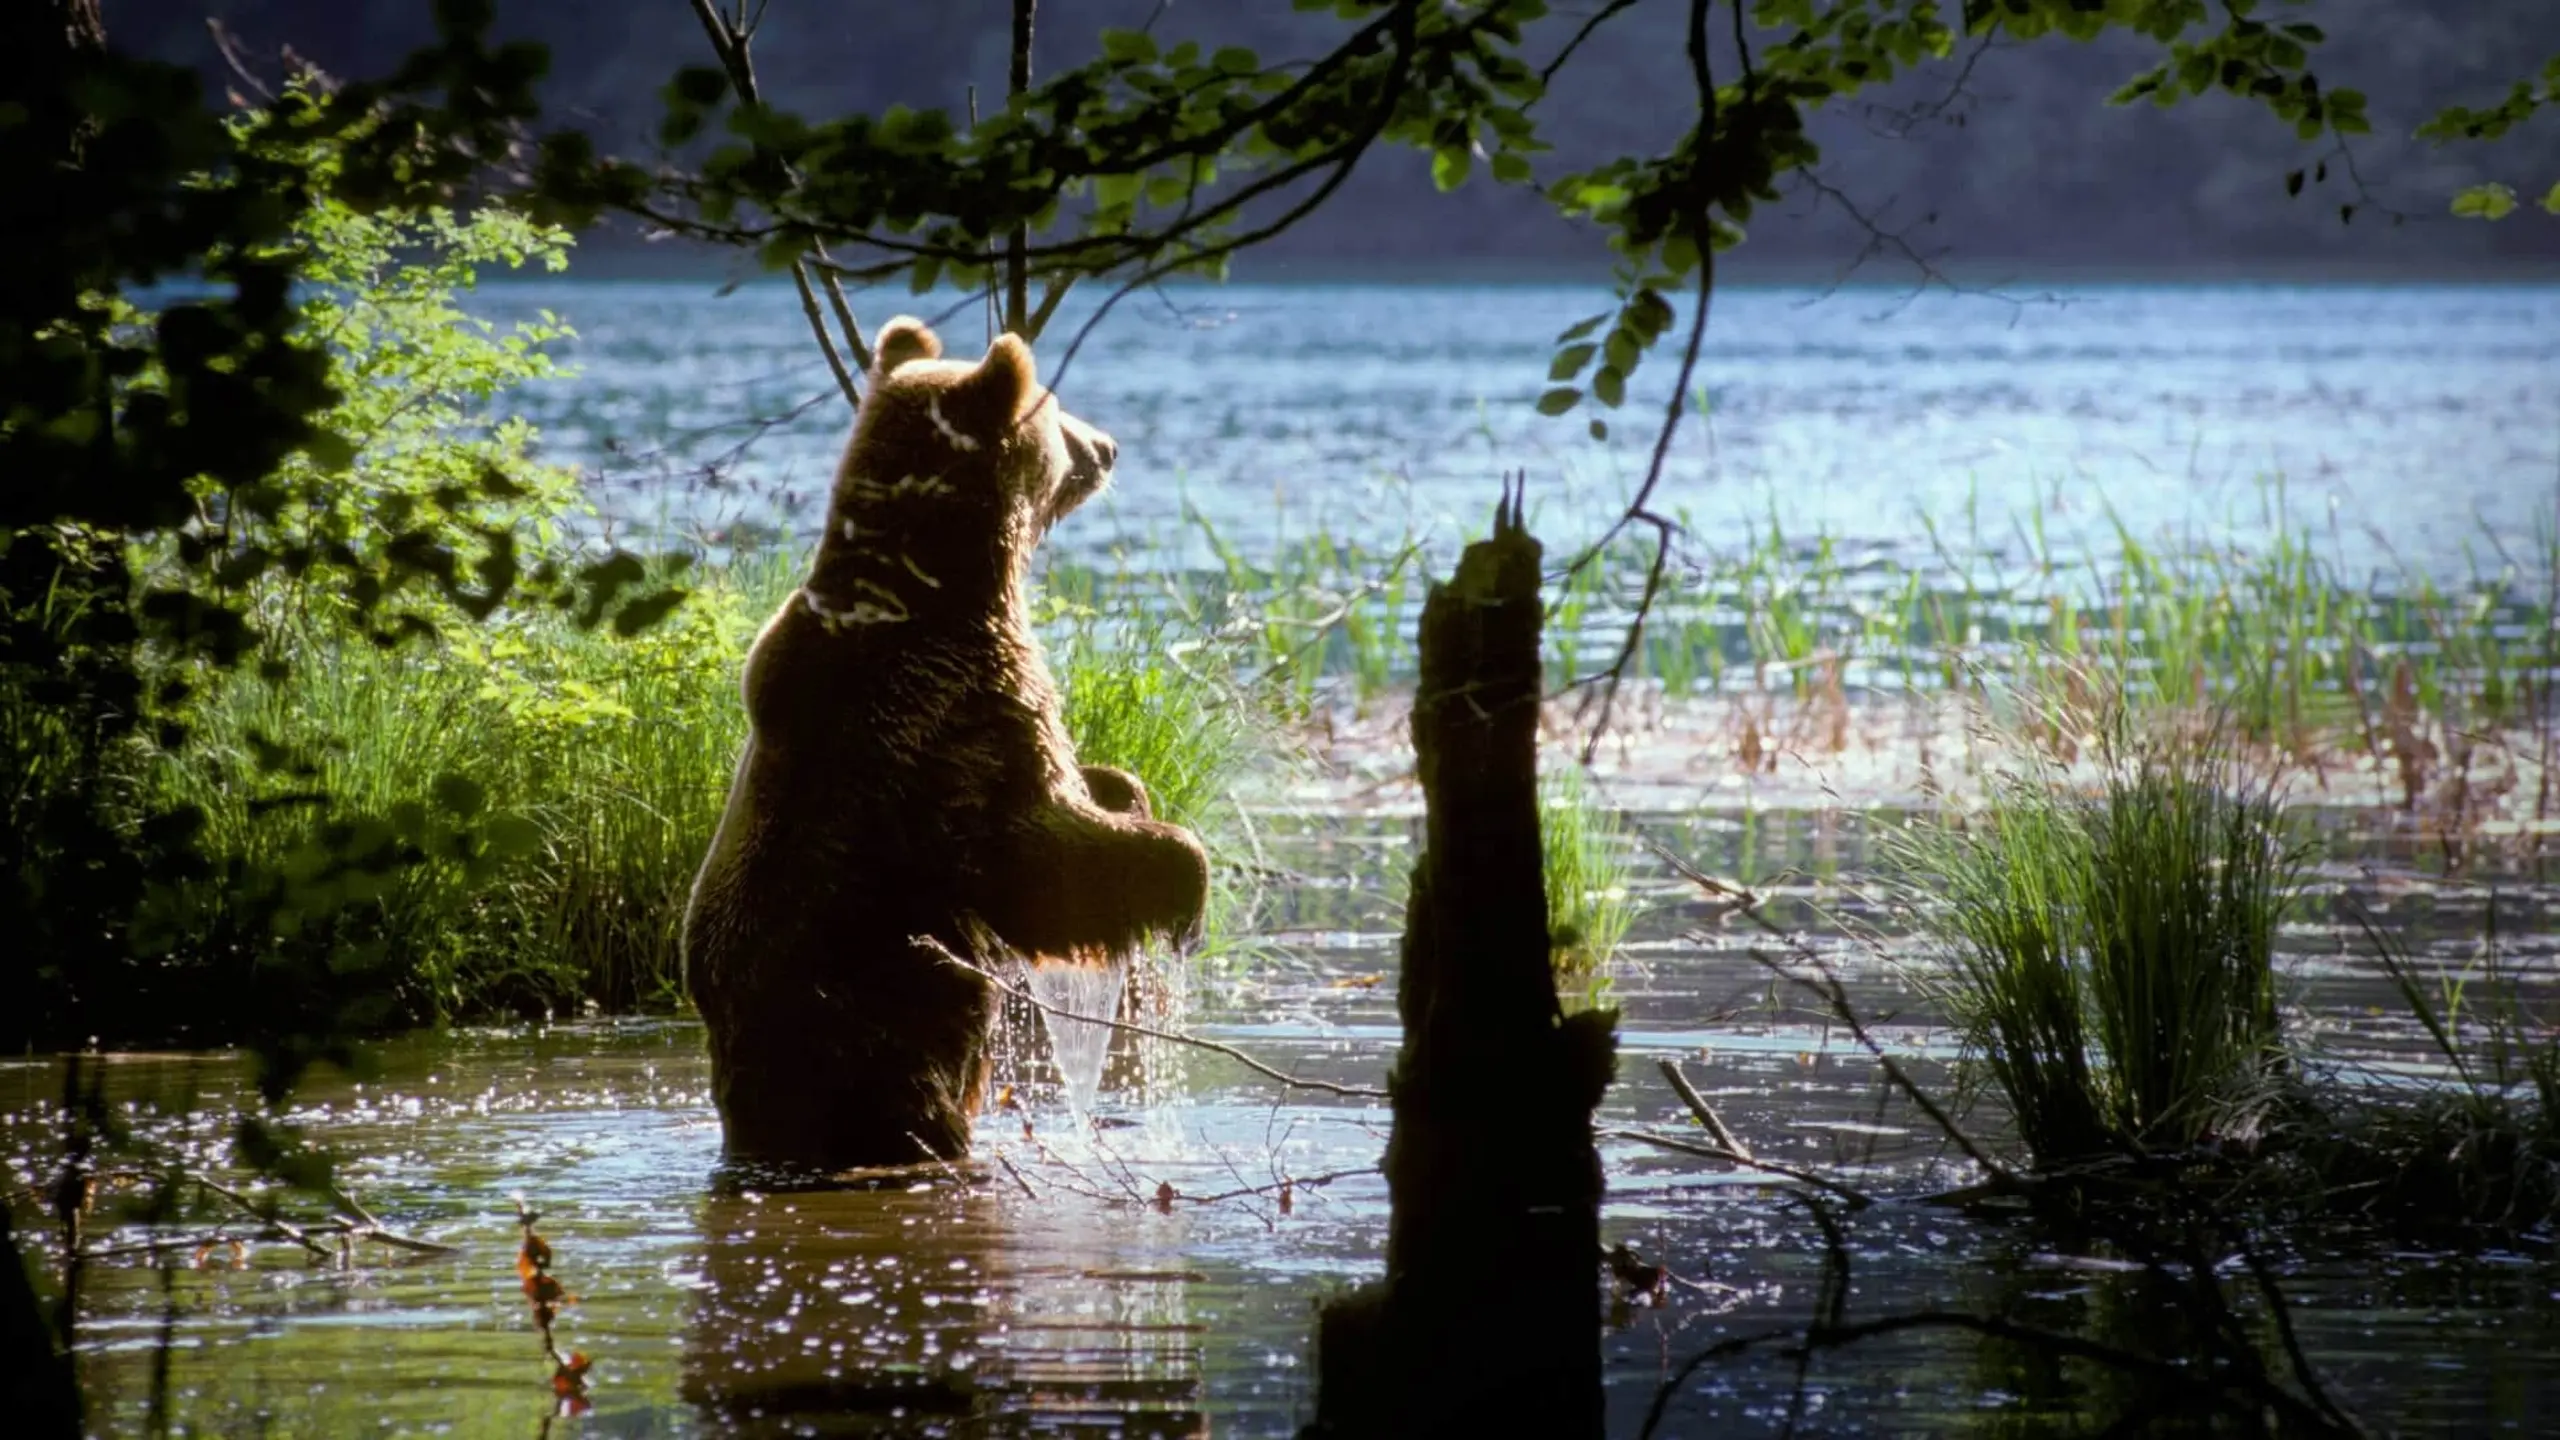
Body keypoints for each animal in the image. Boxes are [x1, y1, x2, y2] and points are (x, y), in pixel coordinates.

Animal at [686, 313, 1213, 1168]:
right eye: (1055, 409)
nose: (1107, 447)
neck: (945, 582)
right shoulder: (955, 719)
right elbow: (1047, 856)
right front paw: (1181, 880)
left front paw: (1121, 785)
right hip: (881, 1033)